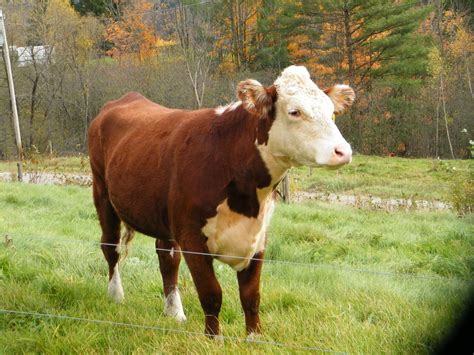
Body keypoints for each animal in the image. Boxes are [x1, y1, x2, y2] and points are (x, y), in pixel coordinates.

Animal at [89, 65, 354, 338]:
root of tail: (126, 98)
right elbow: (211, 294)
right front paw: (213, 338)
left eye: (332, 112)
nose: (343, 151)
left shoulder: (259, 237)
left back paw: (174, 311)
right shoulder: (192, 237)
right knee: (111, 246)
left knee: (167, 257)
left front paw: (254, 338)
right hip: (102, 192)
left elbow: (251, 296)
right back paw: (116, 295)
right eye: (294, 111)